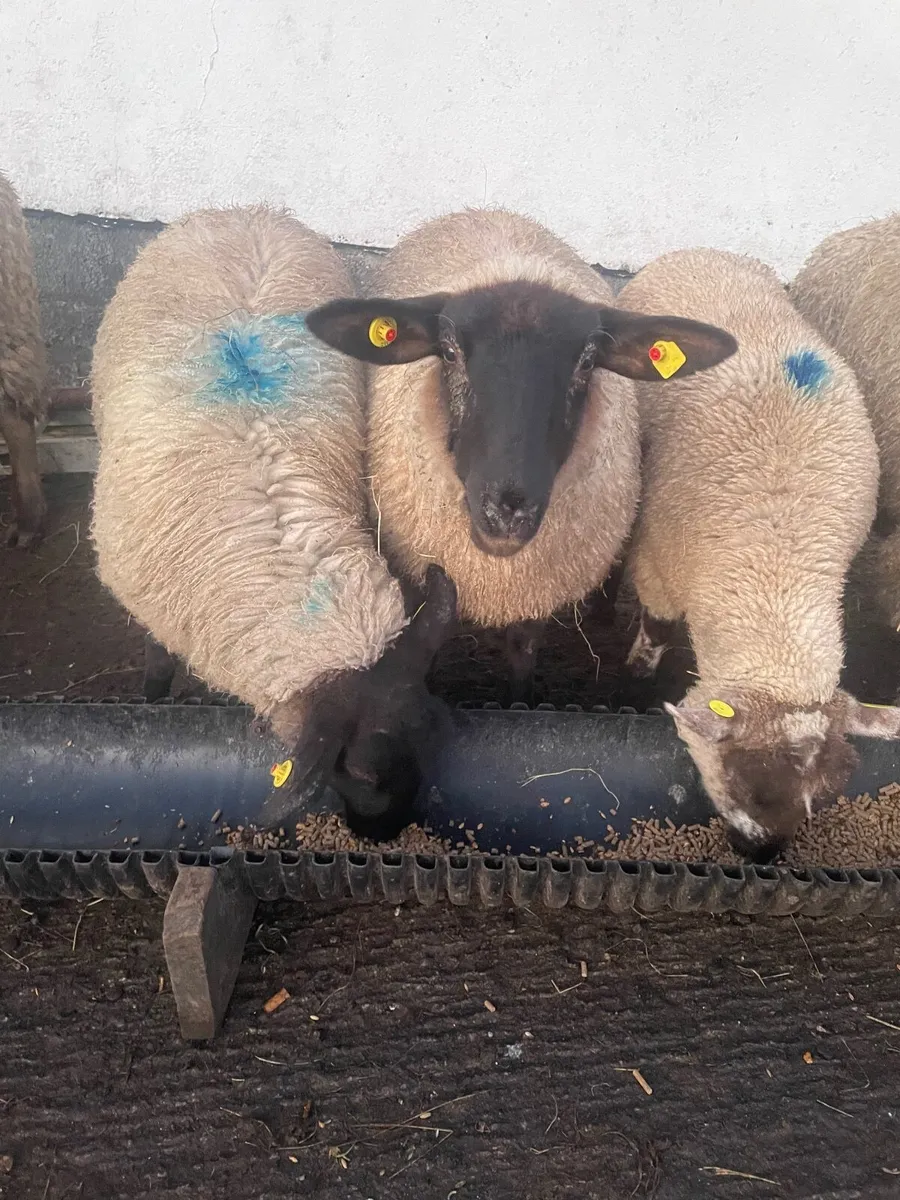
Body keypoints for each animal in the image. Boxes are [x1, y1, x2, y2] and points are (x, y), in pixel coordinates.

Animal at [91, 205, 457, 836]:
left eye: (437, 733)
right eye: (357, 774)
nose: (382, 834)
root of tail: (251, 212)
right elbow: (158, 661)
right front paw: (154, 698)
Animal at [306, 208, 736, 700]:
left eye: (588, 361)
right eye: (448, 350)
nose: (506, 511)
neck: (496, 572)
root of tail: (489, 212)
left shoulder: (533, 594)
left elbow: (522, 655)